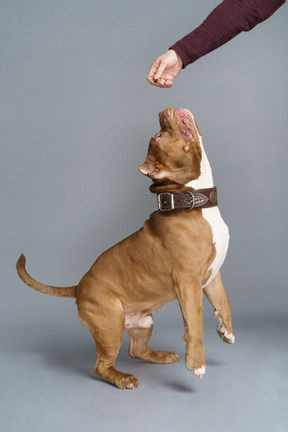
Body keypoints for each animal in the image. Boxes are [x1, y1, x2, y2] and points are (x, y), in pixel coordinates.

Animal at [16, 107, 234, 388]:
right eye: (159, 135)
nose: (162, 112)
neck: (192, 199)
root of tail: (78, 287)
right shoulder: (188, 282)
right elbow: (194, 323)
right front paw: (197, 364)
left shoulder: (212, 275)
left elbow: (223, 302)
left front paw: (226, 331)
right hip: (110, 325)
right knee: (102, 365)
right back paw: (123, 379)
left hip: (143, 322)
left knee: (136, 351)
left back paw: (161, 356)